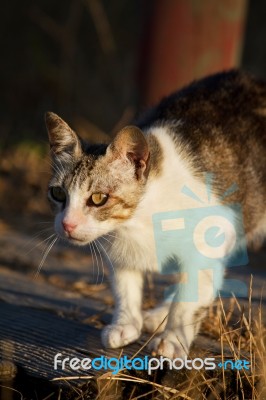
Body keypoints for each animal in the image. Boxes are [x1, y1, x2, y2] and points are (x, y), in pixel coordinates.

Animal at [45, 69, 266, 360]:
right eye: (58, 194)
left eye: (98, 198)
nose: (67, 224)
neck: (139, 221)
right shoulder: (119, 249)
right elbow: (125, 286)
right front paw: (126, 323)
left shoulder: (210, 240)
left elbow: (190, 295)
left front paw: (173, 338)